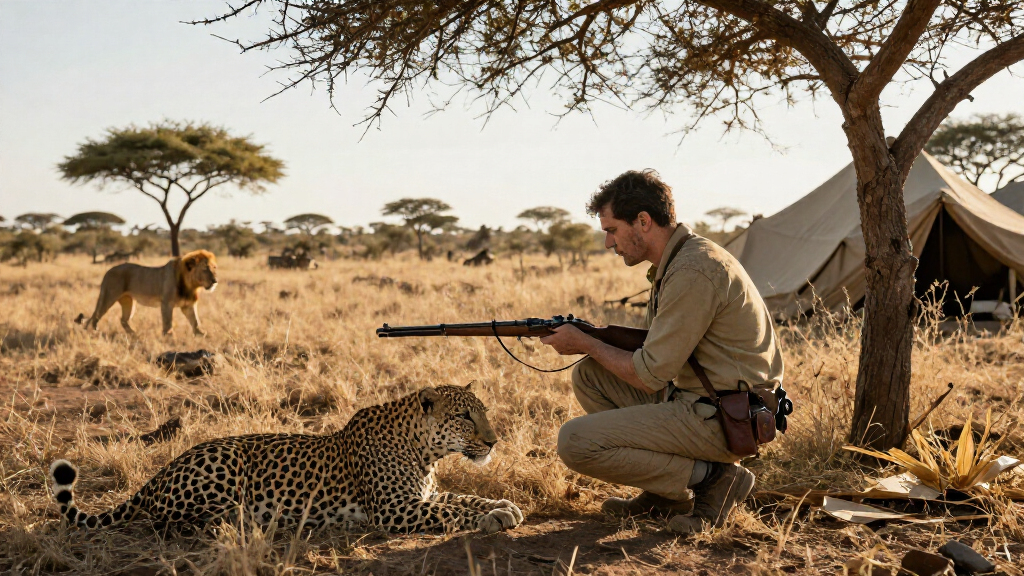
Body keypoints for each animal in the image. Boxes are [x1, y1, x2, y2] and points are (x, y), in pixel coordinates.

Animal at [49, 384, 523, 534]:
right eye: (464, 416)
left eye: (482, 411)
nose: (494, 441)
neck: (424, 450)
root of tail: (156, 475)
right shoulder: (394, 510)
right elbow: (453, 512)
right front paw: (492, 518)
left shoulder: (421, 496)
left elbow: (462, 499)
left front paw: (503, 506)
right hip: (227, 460)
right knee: (170, 520)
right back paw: (241, 520)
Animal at [75, 250, 218, 336]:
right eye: (205, 269)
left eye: (214, 268)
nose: (215, 281)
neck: (191, 285)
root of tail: (108, 271)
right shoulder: (166, 303)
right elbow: (168, 322)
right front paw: (169, 338)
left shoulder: (188, 305)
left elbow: (195, 321)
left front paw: (201, 335)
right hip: (108, 296)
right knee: (96, 316)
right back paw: (92, 332)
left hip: (129, 302)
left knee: (123, 320)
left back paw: (134, 334)